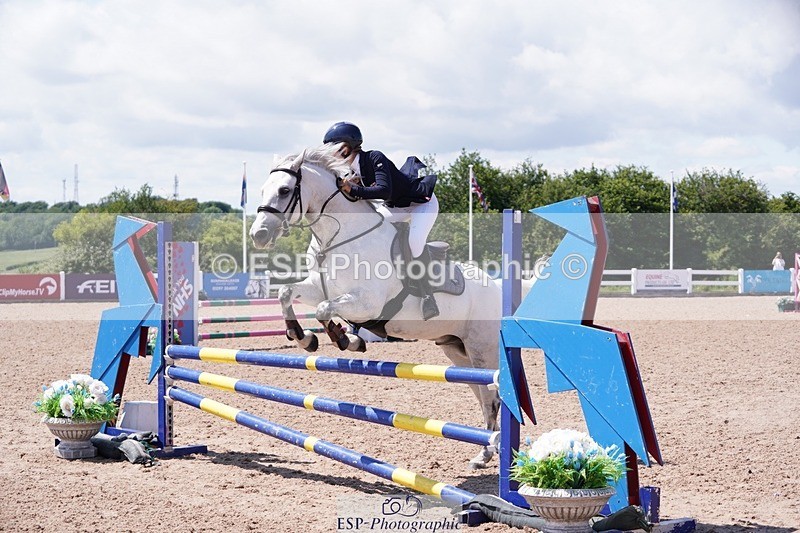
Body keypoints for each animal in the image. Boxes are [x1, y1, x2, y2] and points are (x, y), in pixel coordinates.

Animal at [249, 145, 508, 468]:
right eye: (262, 189)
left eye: (284, 190)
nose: (258, 235)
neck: (339, 237)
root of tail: (497, 288)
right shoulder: (317, 287)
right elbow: (288, 293)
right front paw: (305, 337)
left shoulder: (368, 303)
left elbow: (324, 309)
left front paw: (344, 339)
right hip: (457, 352)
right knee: (484, 397)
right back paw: (483, 454)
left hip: (482, 350)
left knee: (494, 396)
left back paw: (493, 452)